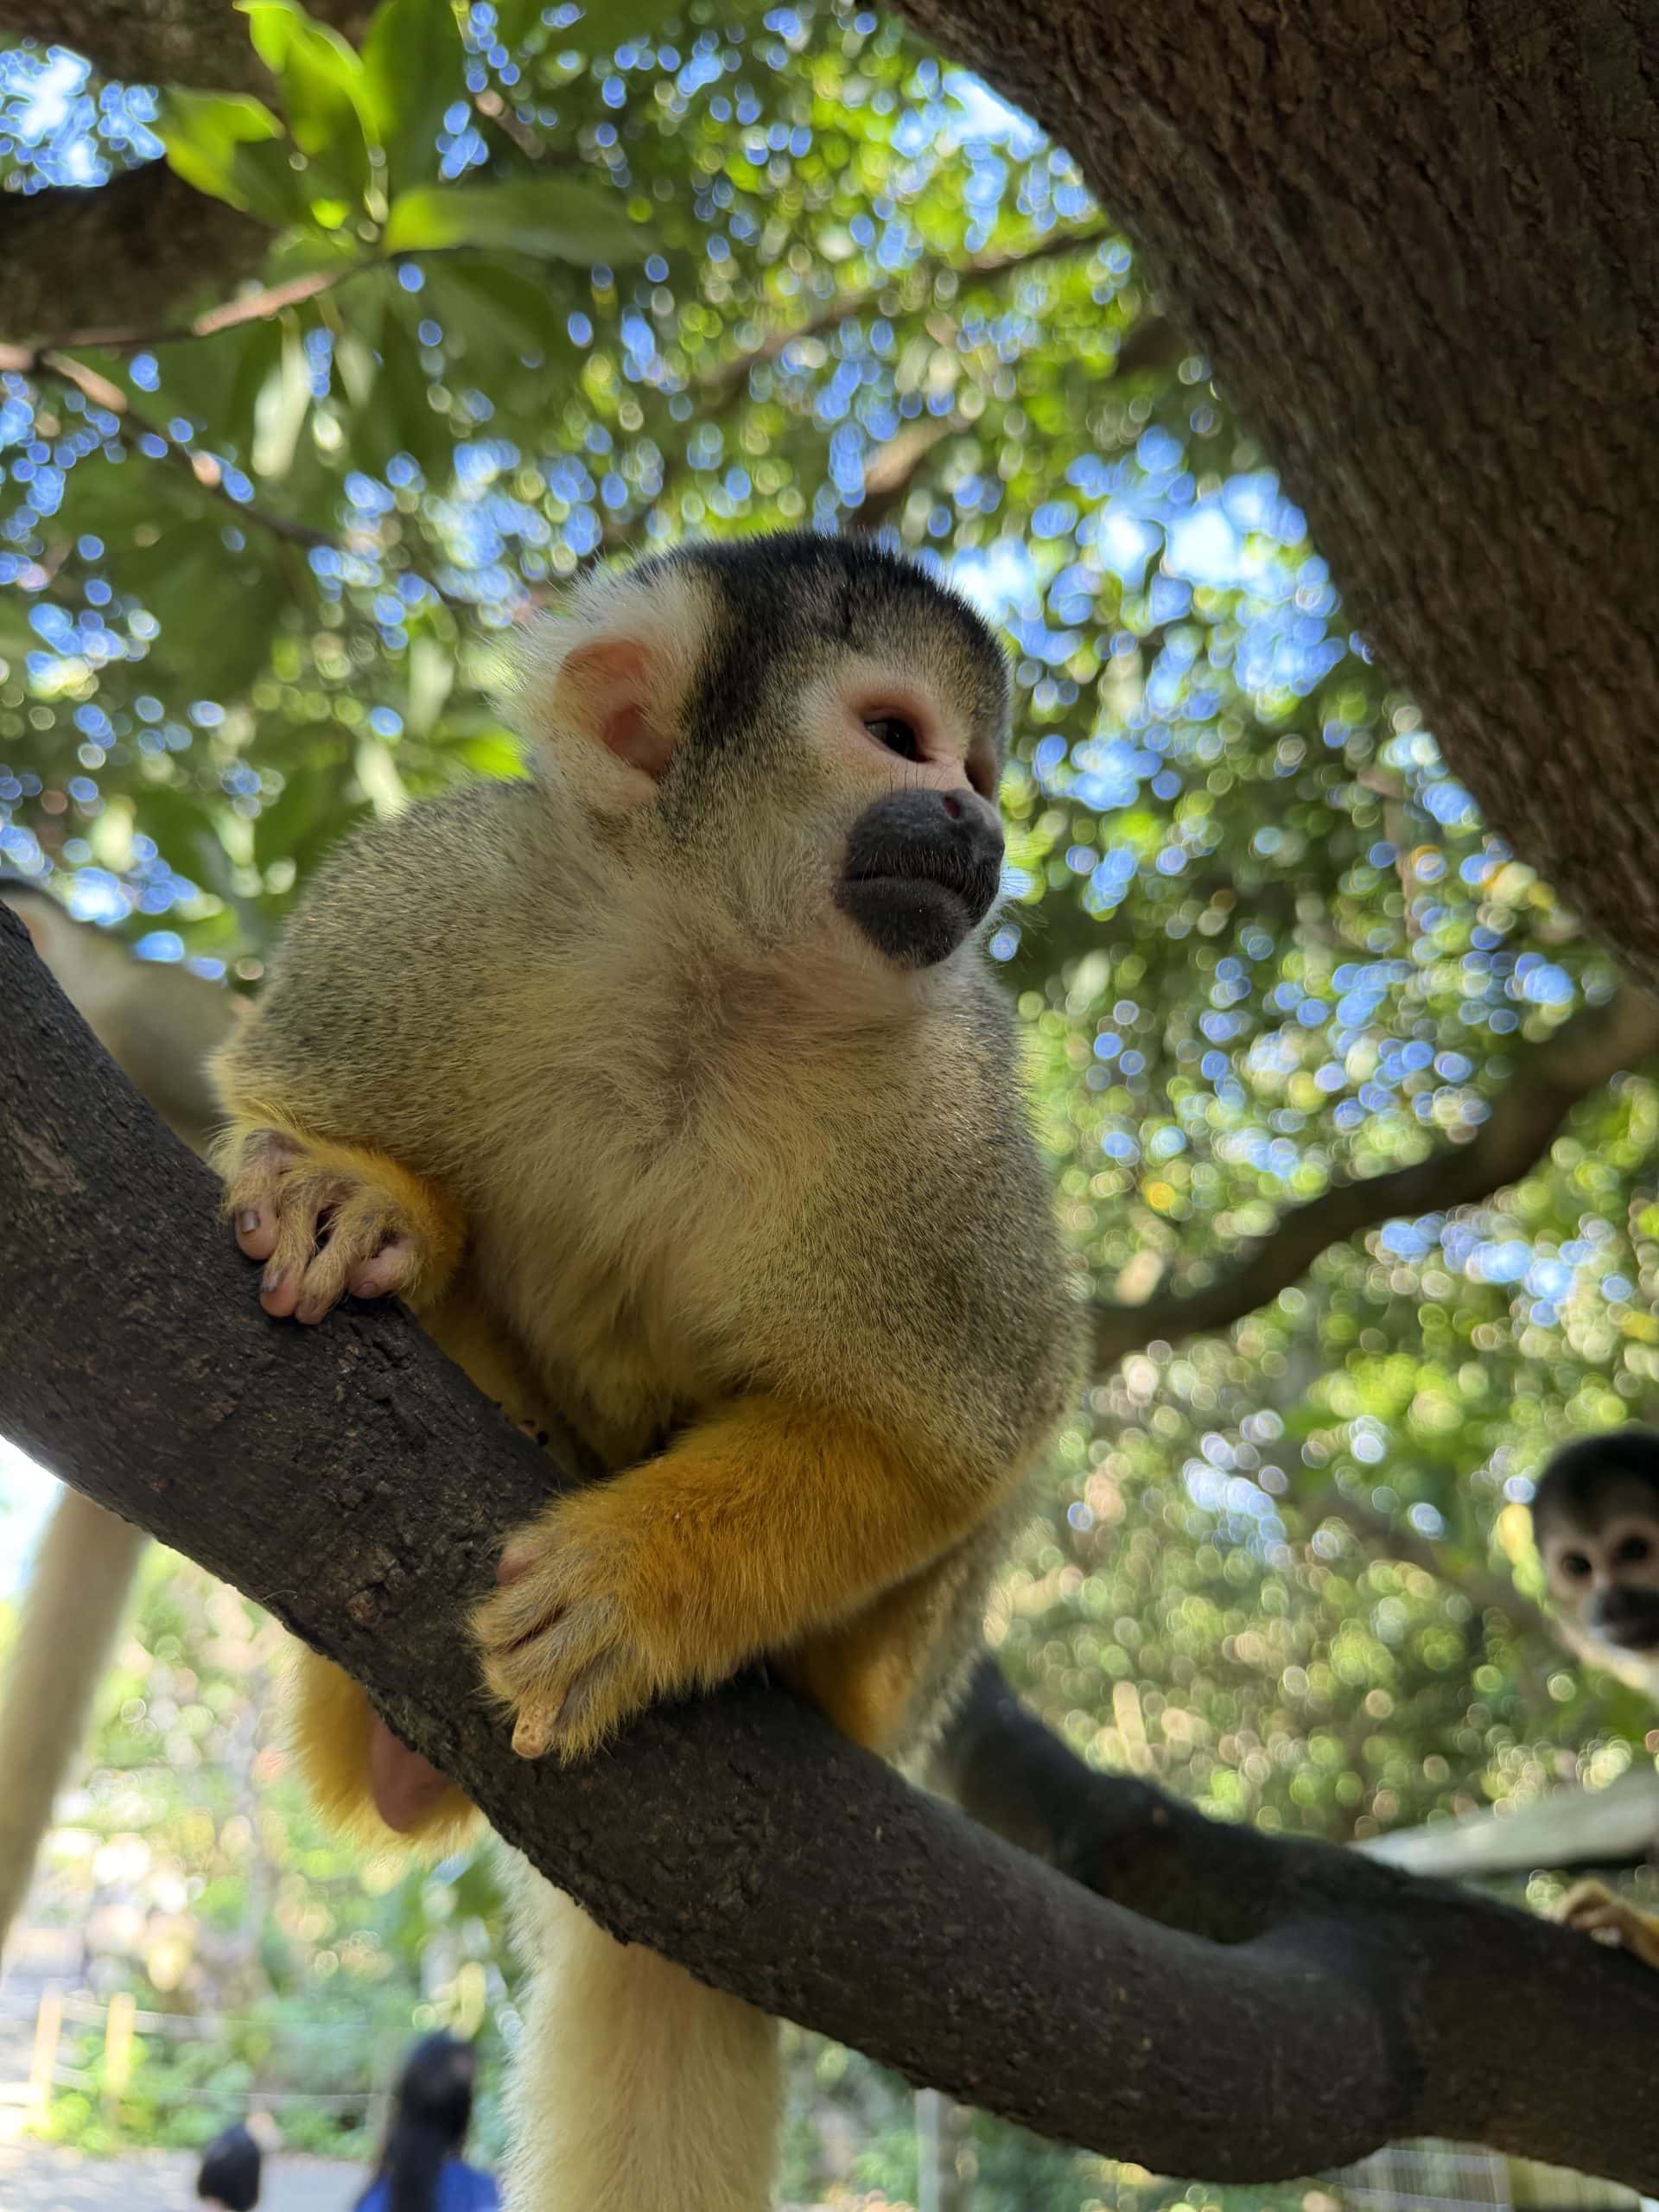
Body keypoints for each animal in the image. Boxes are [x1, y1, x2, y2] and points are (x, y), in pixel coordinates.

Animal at [206, 531, 1085, 2212]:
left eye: (979, 767)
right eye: (900, 737)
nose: (975, 817)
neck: (721, 975)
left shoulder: (949, 1098)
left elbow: (946, 1439)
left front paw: (638, 1585)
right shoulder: (456, 897)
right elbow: (276, 1097)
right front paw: (363, 1200)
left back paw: (814, 1675)